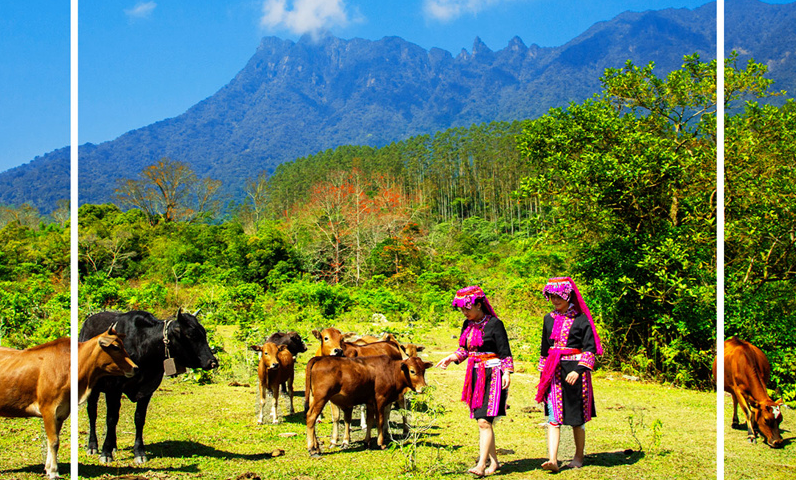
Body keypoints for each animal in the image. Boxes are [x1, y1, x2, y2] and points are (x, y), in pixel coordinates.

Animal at [0, 328, 138, 478]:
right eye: (116, 347)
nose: (135, 368)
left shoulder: (61, 413)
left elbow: (51, 440)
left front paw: (48, 468)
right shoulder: (48, 409)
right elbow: (54, 441)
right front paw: (54, 471)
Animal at [79, 310, 219, 464]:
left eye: (204, 333)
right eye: (191, 335)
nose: (212, 362)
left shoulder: (147, 389)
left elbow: (139, 419)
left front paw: (139, 452)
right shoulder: (113, 389)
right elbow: (111, 419)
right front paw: (105, 453)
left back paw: (113, 446)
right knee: (92, 413)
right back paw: (92, 446)